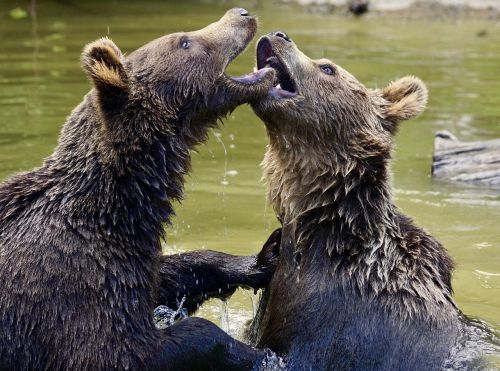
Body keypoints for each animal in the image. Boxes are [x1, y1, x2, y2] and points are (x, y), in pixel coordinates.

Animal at [0, 8, 278, 371]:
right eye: (184, 41)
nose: (241, 13)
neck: (118, 203)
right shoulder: (69, 283)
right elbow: (122, 350)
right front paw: (257, 352)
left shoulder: (130, 259)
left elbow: (170, 276)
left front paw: (264, 256)